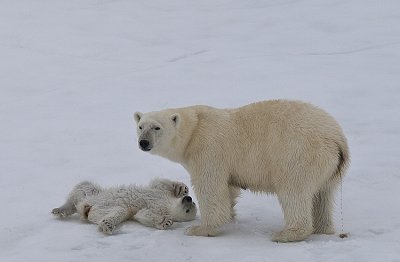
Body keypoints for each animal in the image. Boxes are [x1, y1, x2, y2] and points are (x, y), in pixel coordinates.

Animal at [51, 178, 198, 233]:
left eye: (188, 210)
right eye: (192, 203)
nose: (189, 199)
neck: (167, 204)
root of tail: (86, 206)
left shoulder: (157, 208)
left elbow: (143, 214)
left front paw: (165, 222)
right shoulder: (160, 193)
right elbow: (159, 183)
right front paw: (182, 188)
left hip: (101, 208)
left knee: (117, 211)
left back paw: (106, 224)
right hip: (94, 192)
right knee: (82, 187)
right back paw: (59, 209)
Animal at [134, 100, 350, 242]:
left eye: (157, 127)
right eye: (140, 126)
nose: (143, 142)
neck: (194, 130)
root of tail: (336, 139)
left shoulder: (208, 150)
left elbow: (210, 187)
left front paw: (199, 229)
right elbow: (229, 188)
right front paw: (229, 216)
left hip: (298, 154)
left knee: (294, 191)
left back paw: (286, 234)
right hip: (328, 167)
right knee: (323, 194)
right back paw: (323, 228)